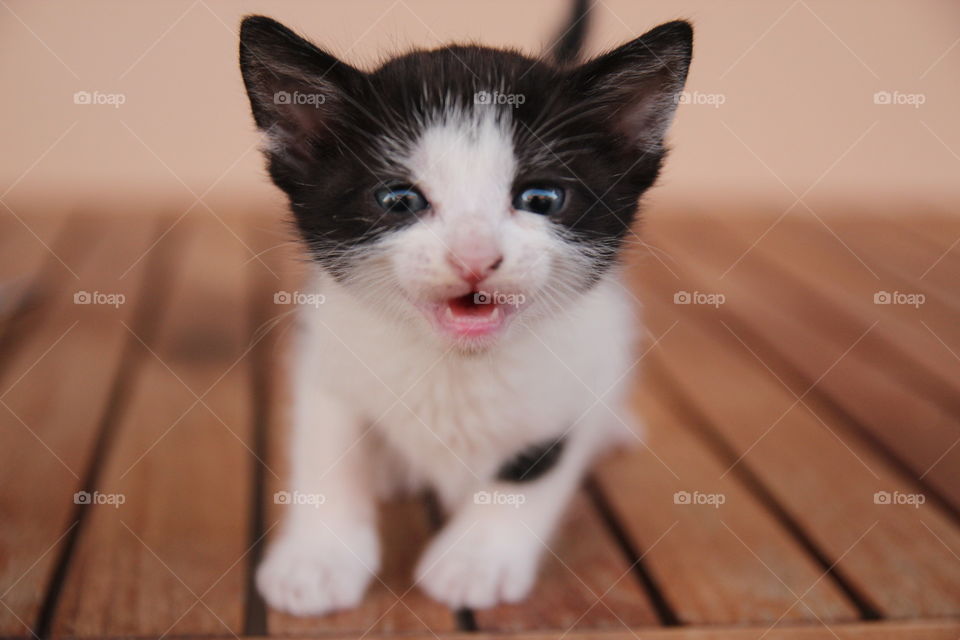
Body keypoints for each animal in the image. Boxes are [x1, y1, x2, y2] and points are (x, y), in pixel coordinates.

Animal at [239, 3, 688, 616]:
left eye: (541, 199)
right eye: (399, 200)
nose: (475, 256)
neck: (455, 365)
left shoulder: (583, 364)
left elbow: (533, 465)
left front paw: (476, 560)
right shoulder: (326, 352)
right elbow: (327, 453)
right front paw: (318, 558)